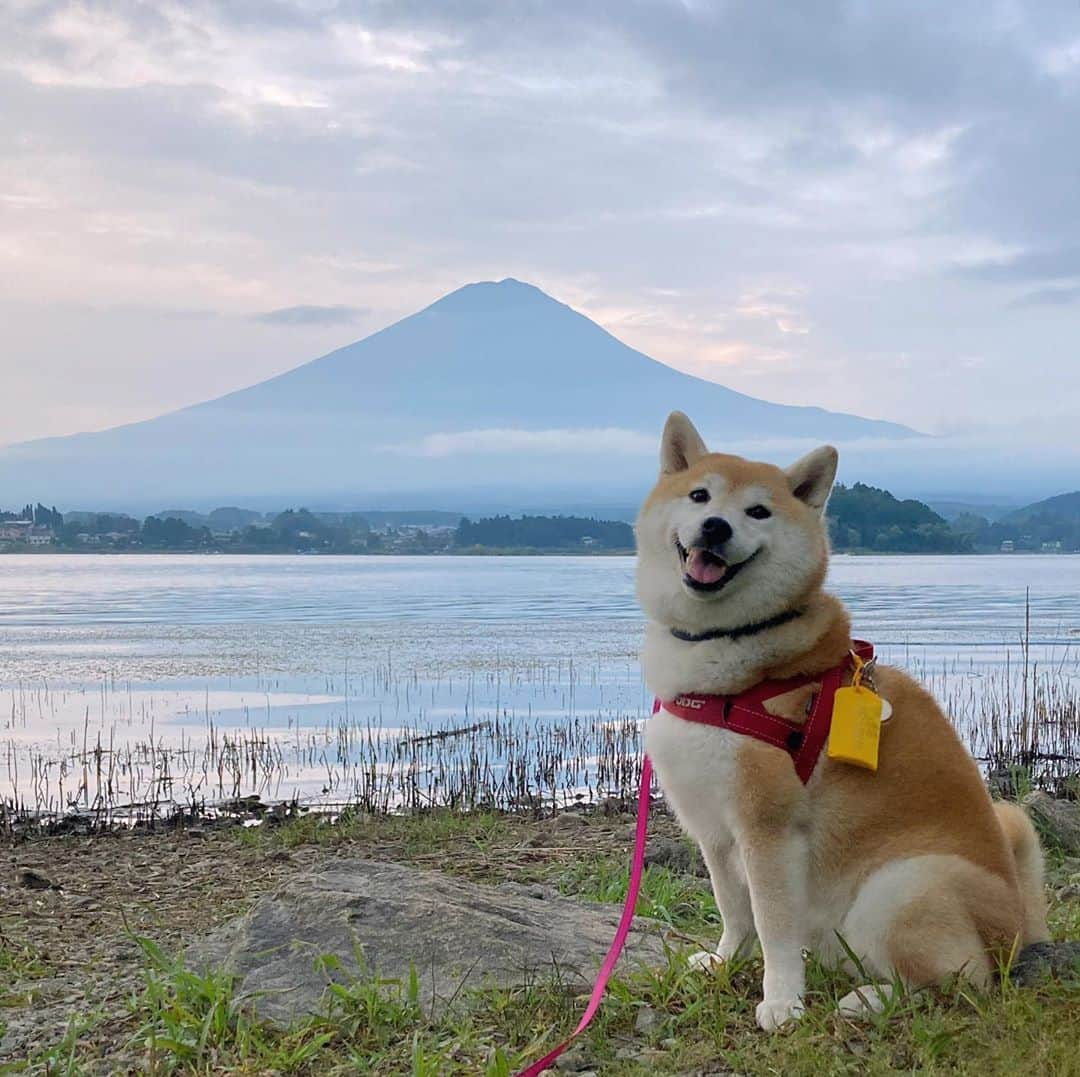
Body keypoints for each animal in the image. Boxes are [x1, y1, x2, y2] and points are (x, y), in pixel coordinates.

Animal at [635, 410, 1049, 1024]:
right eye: (699, 495)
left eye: (758, 511)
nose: (714, 527)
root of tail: (1020, 927)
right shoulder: (714, 828)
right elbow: (734, 911)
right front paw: (726, 961)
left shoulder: (768, 828)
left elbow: (773, 924)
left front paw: (782, 999)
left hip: (903, 885)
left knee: (964, 979)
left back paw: (871, 998)